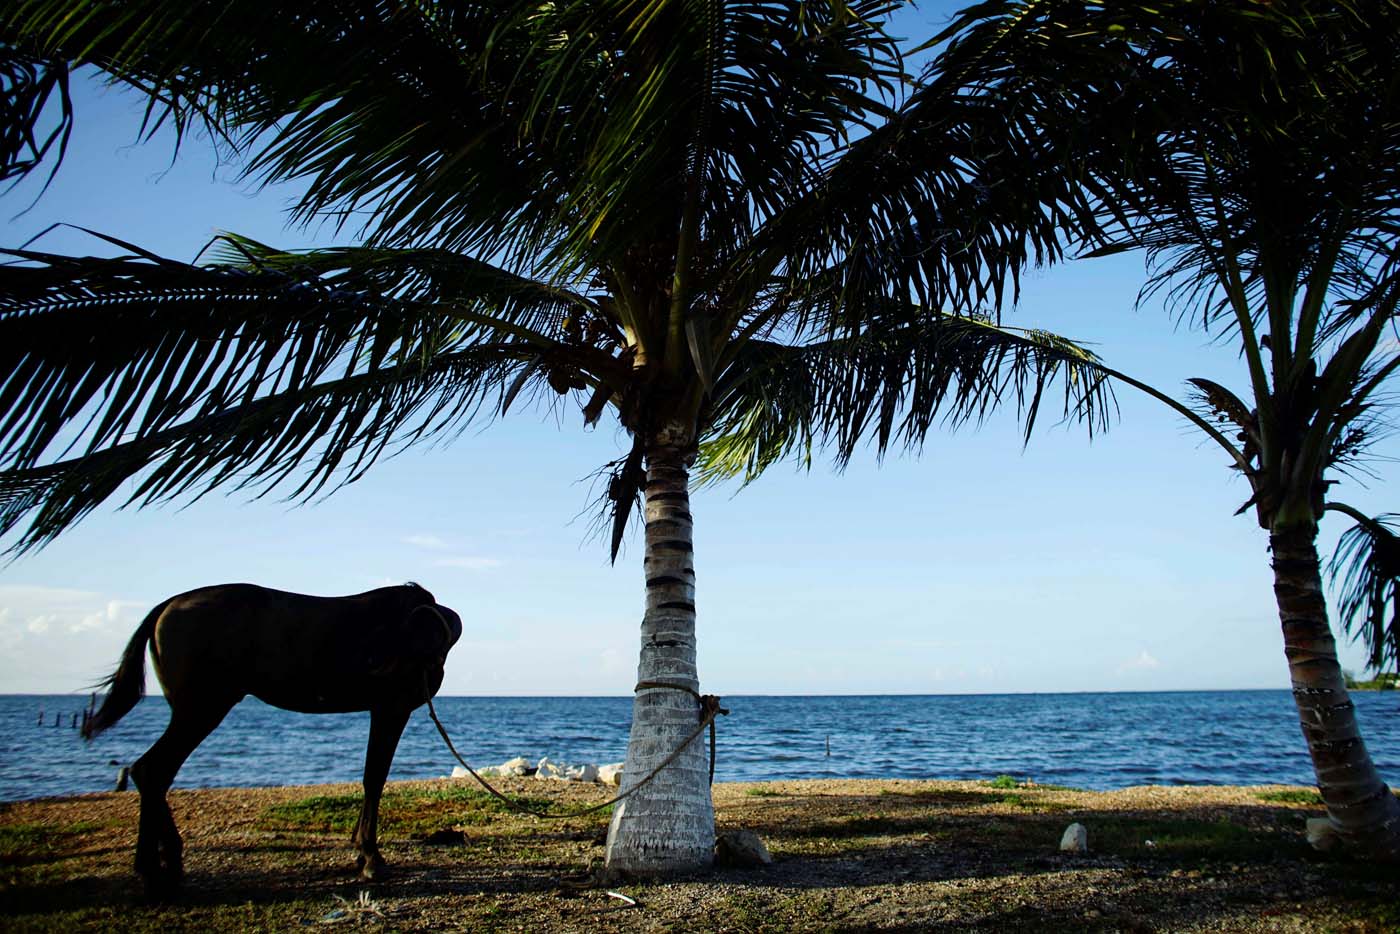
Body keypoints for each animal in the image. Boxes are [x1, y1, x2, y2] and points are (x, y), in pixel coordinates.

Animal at [81, 585, 462, 896]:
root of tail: (167, 605)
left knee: (154, 772)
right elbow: (375, 778)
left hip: (193, 710)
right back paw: (155, 870)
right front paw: (370, 855)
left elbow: (373, 777)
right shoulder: (390, 708)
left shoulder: (384, 709)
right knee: (153, 770)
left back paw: (166, 864)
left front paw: (360, 849)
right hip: (202, 708)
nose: (371, 659)